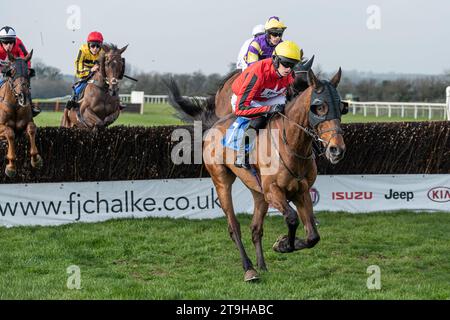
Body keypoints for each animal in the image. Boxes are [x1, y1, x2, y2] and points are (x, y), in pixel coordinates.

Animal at [0, 51, 42, 179]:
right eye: (12, 72)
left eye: (28, 72)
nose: (23, 96)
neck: (14, 105)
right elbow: (10, 132)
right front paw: (11, 167)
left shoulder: (25, 125)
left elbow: (31, 128)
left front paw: (36, 160)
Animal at [167, 67, 346, 280]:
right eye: (319, 107)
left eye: (341, 107)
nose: (337, 150)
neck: (292, 144)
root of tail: (214, 125)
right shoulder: (273, 191)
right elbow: (292, 218)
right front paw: (284, 244)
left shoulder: (301, 192)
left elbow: (313, 237)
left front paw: (284, 244)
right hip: (222, 181)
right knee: (234, 226)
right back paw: (249, 268)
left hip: (257, 191)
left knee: (255, 228)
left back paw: (261, 264)